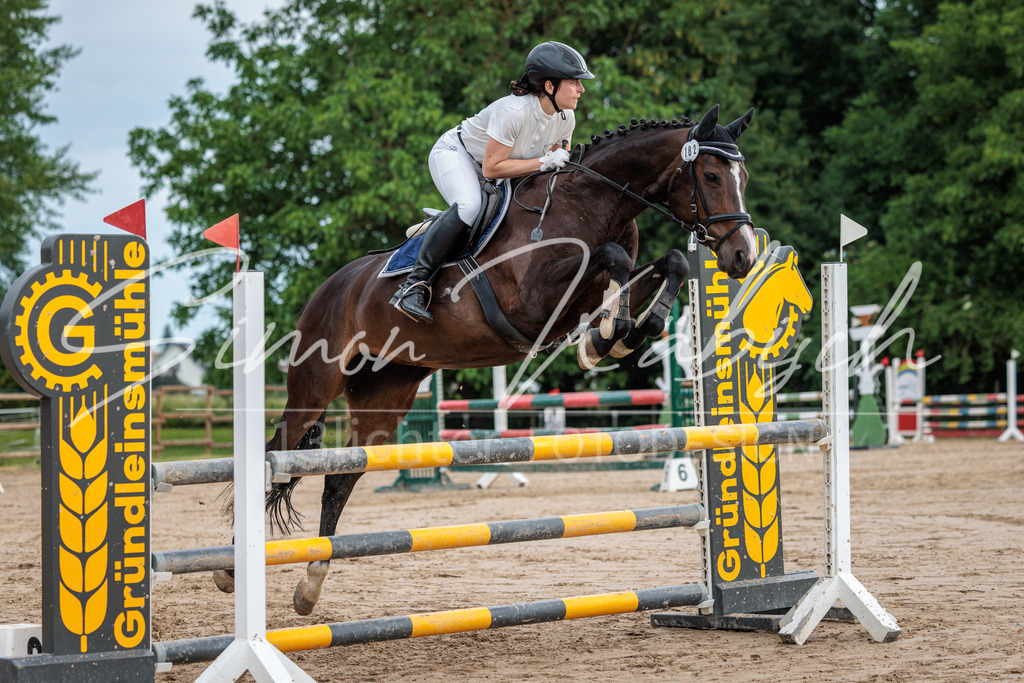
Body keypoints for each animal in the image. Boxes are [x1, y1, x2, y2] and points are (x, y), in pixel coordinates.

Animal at [212, 104, 760, 615]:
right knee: (276, 452)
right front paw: (608, 335)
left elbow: (665, 261)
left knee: (338, 481)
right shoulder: (536, 301)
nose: (743, 258)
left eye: (744, 178)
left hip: (385, 394)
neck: (593, 203)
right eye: (711, 176)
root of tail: (333, 286)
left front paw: (618, 334)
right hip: (314, 383)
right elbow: (612, 257)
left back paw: (310, 585)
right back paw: (228, 570)